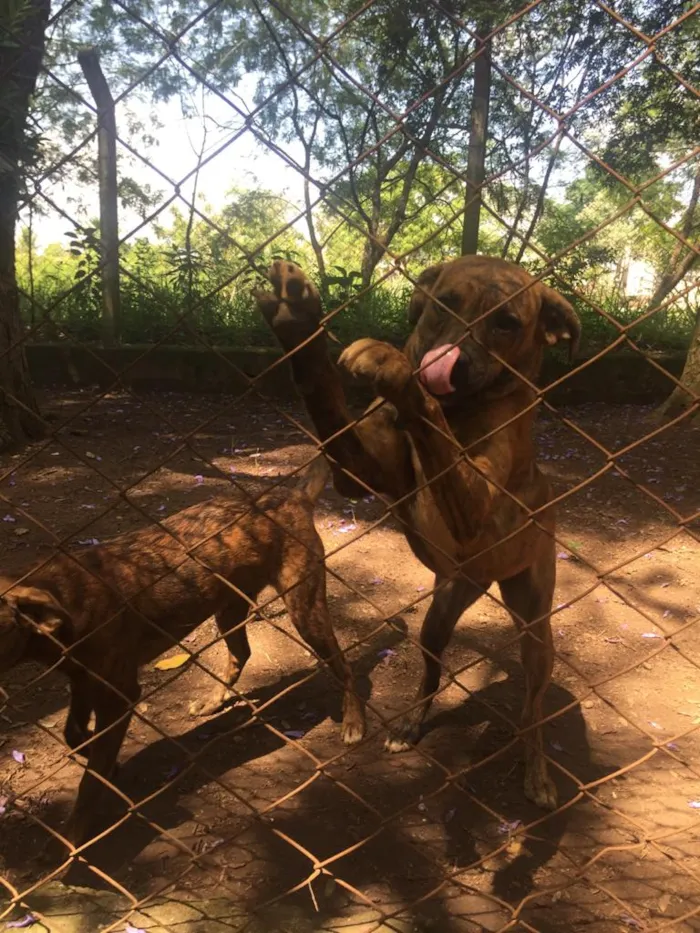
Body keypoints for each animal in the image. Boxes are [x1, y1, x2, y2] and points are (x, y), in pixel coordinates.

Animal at [258, 256, 580, 808]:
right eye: (445, 303)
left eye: (507, 323)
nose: (451, 365)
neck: (459, 409)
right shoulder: (356, 473)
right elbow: (324, 395)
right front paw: (295, 318)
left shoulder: (472, 501)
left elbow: (433, 428)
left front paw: (399, 372)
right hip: (441, 611)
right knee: (431, 670)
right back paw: (409, 725)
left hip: (536, 629)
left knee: (533, 711)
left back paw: (537, 772)